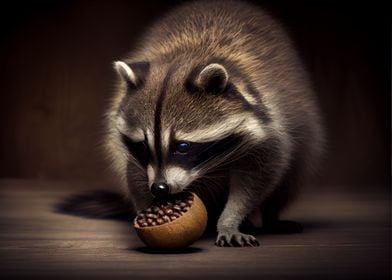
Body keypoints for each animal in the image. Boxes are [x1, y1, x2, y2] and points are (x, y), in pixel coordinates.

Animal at [104, 0, 324, 246]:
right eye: (143, 145)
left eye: (183, 146)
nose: (160, 189)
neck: (187, 58)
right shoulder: (136, 157)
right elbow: (135, 177)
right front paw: (147, 209)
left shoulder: (267, 131)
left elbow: (256, 179)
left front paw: (230, 220)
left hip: (304, 131)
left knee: (293, 173)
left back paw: (270, 216)